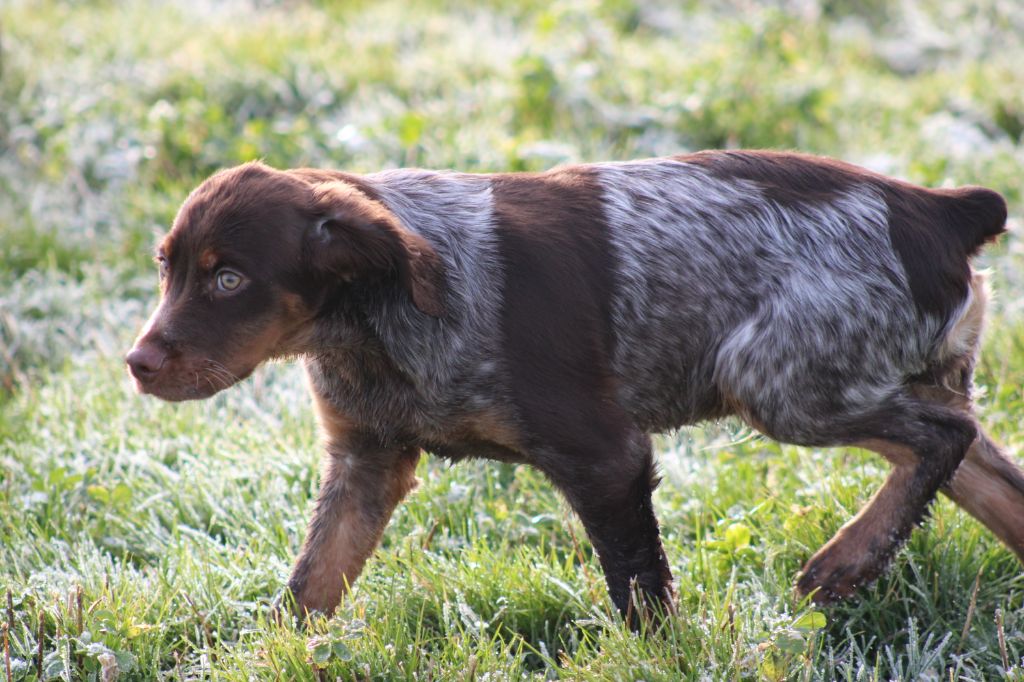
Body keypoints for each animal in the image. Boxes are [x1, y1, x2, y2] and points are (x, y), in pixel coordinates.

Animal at [125, 151, 1015, 618]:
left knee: (941, 439)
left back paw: (845, 562)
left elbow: (640, 592)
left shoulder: (605, 456)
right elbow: (311, 583)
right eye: (168, 269)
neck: (371, 319)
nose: (138, 363)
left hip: (778, 382)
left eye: (230, 280)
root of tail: (941, 208)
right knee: (991, 476)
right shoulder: (365, 463)